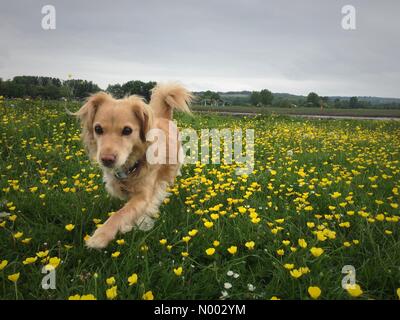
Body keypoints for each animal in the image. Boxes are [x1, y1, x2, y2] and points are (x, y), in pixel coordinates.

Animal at [75, 83, 194, 250]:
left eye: (127, 130)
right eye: (98, 129)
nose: (107, 159)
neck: (132, 164)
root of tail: (164, 118)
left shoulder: (144, 196)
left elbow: (121, 213)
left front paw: (101, 235)